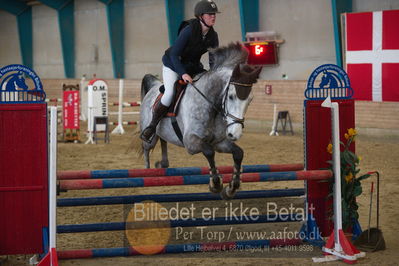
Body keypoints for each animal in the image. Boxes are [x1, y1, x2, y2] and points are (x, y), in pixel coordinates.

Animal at [138, 42, 262, 198]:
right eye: (231, 96)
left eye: (250, 100)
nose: (235, 134)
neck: (211, 105)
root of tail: (154, 86)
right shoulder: (191, 142)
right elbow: (208, 152)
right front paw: (216, 184)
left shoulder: (219, 143)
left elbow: (238, 153)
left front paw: (231, 187)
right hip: (150, 136)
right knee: (146, 148)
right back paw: (147, 172)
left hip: (162, 133)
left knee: (163, 141)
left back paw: (162, 164)